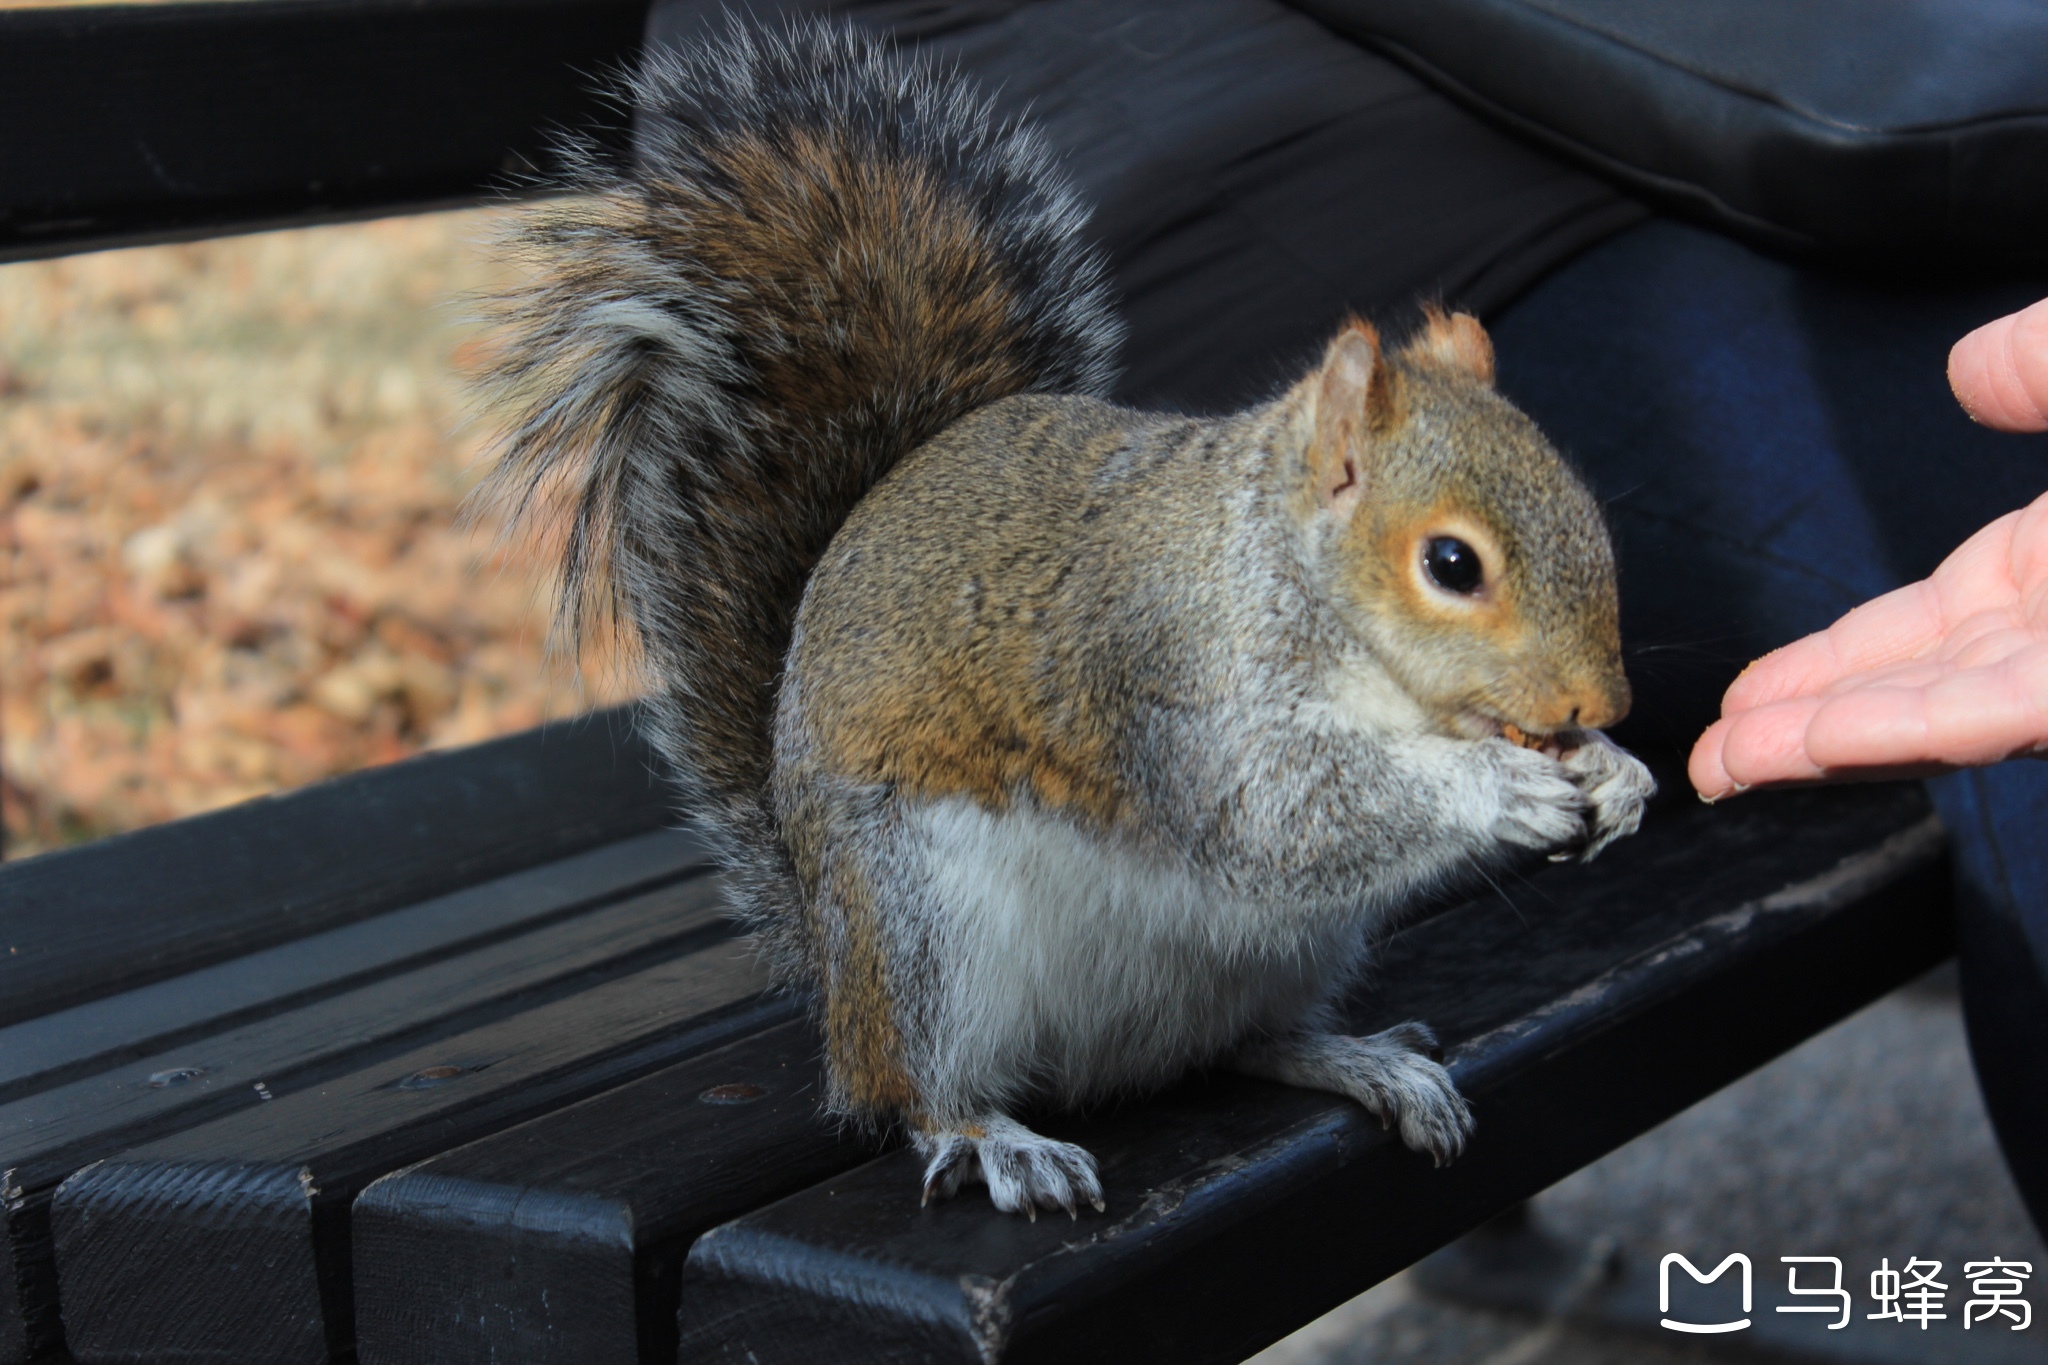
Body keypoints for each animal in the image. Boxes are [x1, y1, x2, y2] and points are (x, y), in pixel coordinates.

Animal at [479, 21, 1662, 1219]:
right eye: (1451, 564)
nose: (1600, 699)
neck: (1285, 580)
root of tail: (831, 967)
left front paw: (1616, 773)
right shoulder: (1161, 680)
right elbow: (1275, 813)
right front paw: (1498, 787)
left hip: (1282, 952)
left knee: (1239, 1043)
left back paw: (1357, 1058)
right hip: (925, 935)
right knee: (917, 1091)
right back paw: (996, 1138)